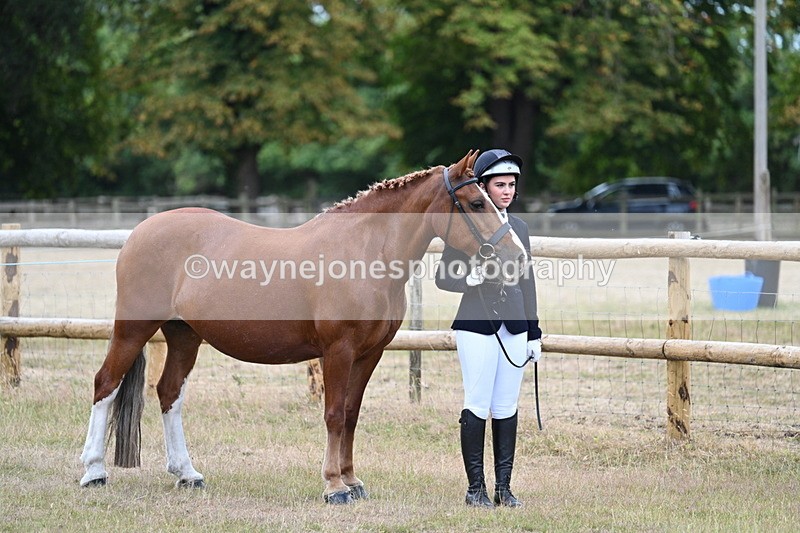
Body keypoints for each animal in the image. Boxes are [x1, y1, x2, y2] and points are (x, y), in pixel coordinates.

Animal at [79, 150, 528, 504]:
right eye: (475, 202)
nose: (516, 257)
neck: (366, 252)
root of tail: (142, 230)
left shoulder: (369, 354)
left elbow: (351, 414)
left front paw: (352, 481)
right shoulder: (338, 351)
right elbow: (333, 415)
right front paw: (334, 487)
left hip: (185, 334)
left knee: (169, 393)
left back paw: (187, 473)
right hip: (133, 328)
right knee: (106, 384)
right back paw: (94, 471)